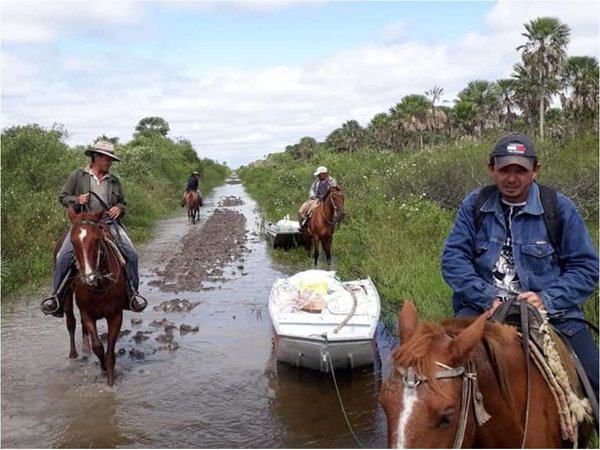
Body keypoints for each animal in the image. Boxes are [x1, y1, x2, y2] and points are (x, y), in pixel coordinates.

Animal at [63, 207, 126, 386]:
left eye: (96, 240)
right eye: (73, 242)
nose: (88, 278)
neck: (99, 285)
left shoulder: (116, 315)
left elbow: (110, 350)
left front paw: (110, 381)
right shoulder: (87, 314)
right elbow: (98, 347)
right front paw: (103, 369)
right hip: (68, 297)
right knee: (71, 322)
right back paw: (74, 354)